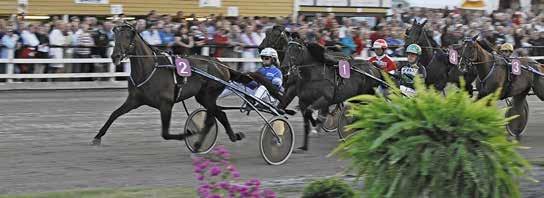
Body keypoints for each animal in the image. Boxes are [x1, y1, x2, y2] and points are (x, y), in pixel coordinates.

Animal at [93, 21, 278, 151]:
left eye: (127, 37)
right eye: (115, 37)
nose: (115, 56)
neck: (150, 69)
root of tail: (222, 65)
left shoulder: (166, 104)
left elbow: (165, 134)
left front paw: (189, 132)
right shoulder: (134, 100)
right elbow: (114, 114)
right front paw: (97, 137)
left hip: (209, 95)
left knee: (216, 116)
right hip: (204, 97)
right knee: (216, 116)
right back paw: (218, 140)